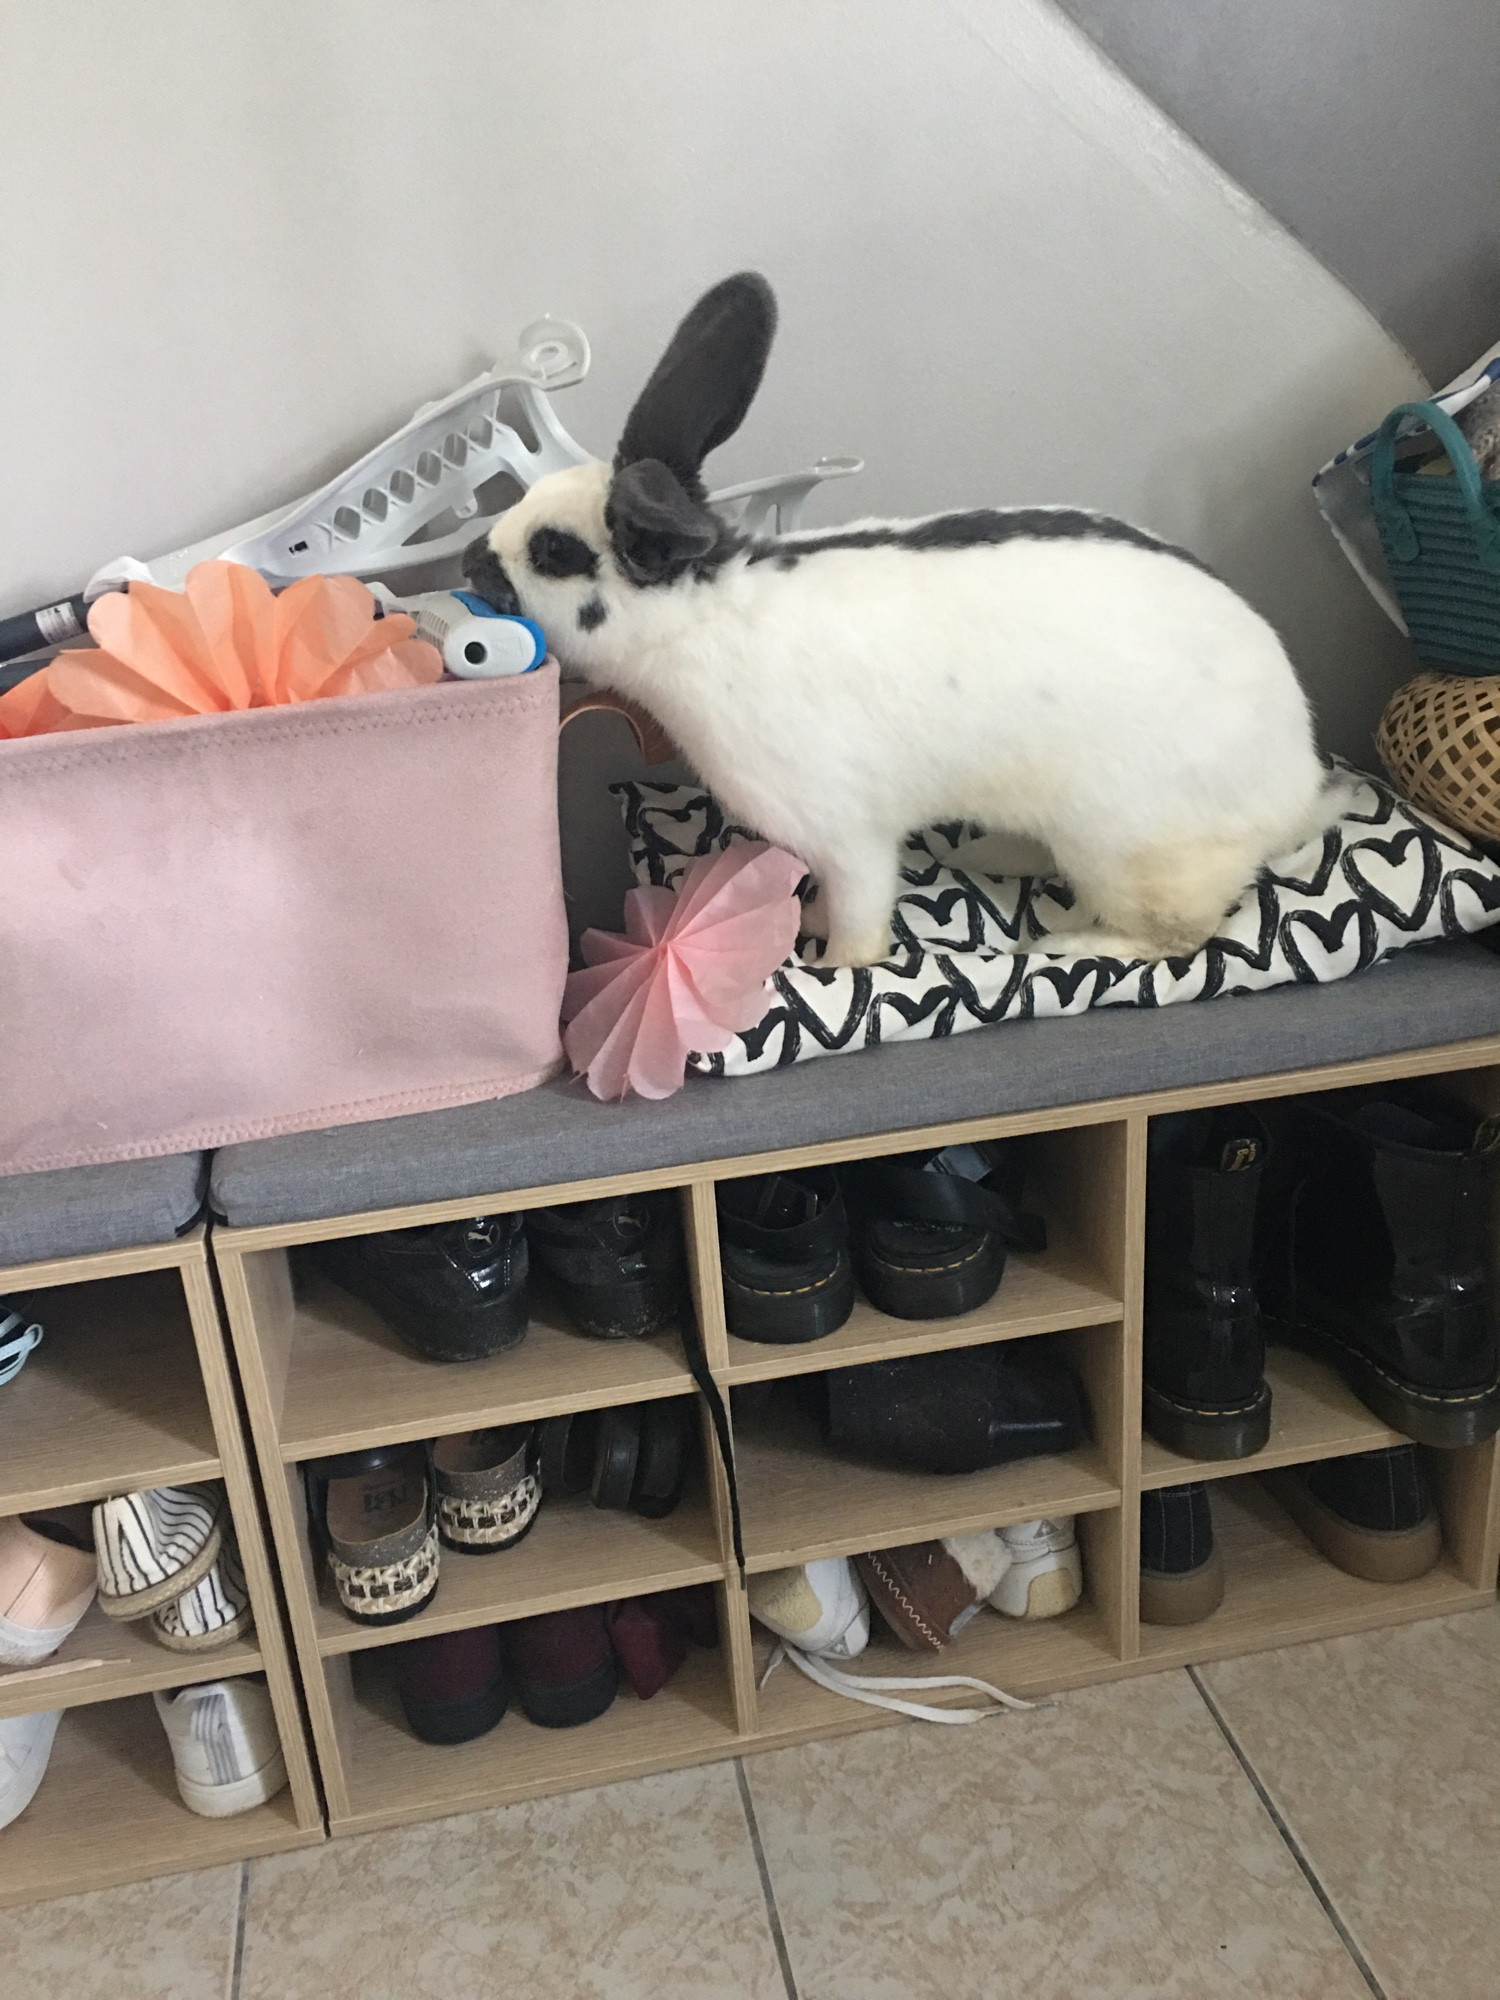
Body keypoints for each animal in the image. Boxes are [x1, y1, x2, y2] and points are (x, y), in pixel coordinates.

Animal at [468, 272, 1336, 968]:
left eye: (553, 551)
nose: (477, 560)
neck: (704, 615)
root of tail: (1297, 780)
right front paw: (807, 924)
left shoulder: (847, 835)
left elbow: (861, 910)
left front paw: (831, 964)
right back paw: (998, 851)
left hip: (1128, 850)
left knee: (1178, 935)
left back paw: (1067, 943)